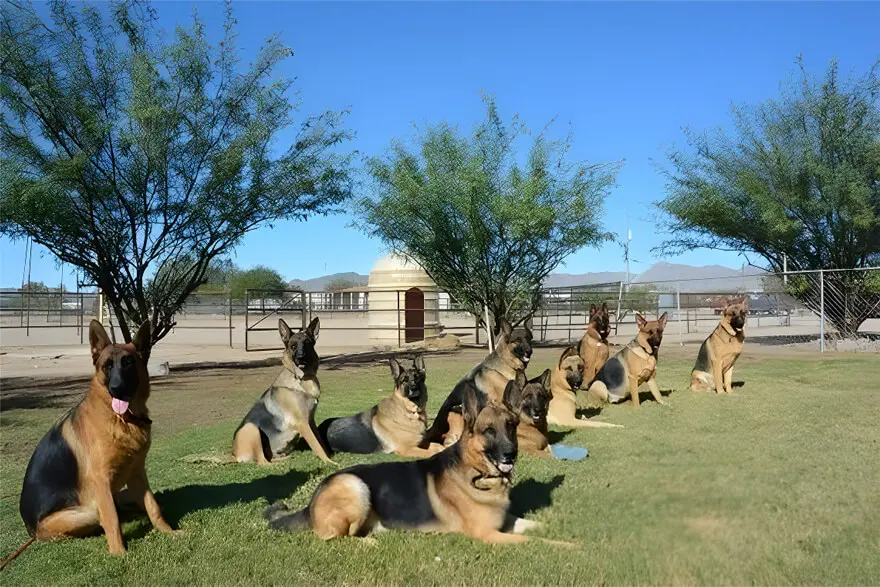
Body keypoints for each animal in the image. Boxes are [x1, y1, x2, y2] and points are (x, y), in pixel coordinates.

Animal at [19, 322, 177, 556]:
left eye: (128, 363)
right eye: (107, 366)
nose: (117, 389)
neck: (122, 419)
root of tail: (31, 531)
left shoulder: (137, 473)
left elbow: (152, 505)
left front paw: (170, 532)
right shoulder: (101, 482)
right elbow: (111, 518)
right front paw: (120, 553)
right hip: (87, 511)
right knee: (104, 516)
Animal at [230, 320, 334, 466]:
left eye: (307, 343)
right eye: (293, 346)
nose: (301, 358)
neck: (302, 378)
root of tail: (234, 455)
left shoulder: (310, 421)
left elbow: (321, 442)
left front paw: (330, 456)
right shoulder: (303, 423)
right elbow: (317, 446)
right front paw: (331, 462)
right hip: (251, 428)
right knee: (263, 462)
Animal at [262, 382, 544, 548]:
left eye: (511, 426)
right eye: (489, 431)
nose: (511, 454)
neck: (477, 471)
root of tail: (312, 501)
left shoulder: (506, 520)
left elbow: (535, 525)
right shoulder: (489, 534)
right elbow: (539, 541)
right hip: (356, 488)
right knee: (334, 538)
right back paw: (367, 544)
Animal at [316, 358, 444, 460]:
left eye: (417, 378)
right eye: (405, 380)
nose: (414, 388)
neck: (409, 412)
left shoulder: (421, 442)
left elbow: (438, 446)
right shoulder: (406, 449)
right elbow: (433, 452)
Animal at [422, 320, 532, 448]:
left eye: (528, 338)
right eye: (518, 340)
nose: (529, 351)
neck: (507, 364)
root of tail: (433, 430)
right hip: (458, 409)